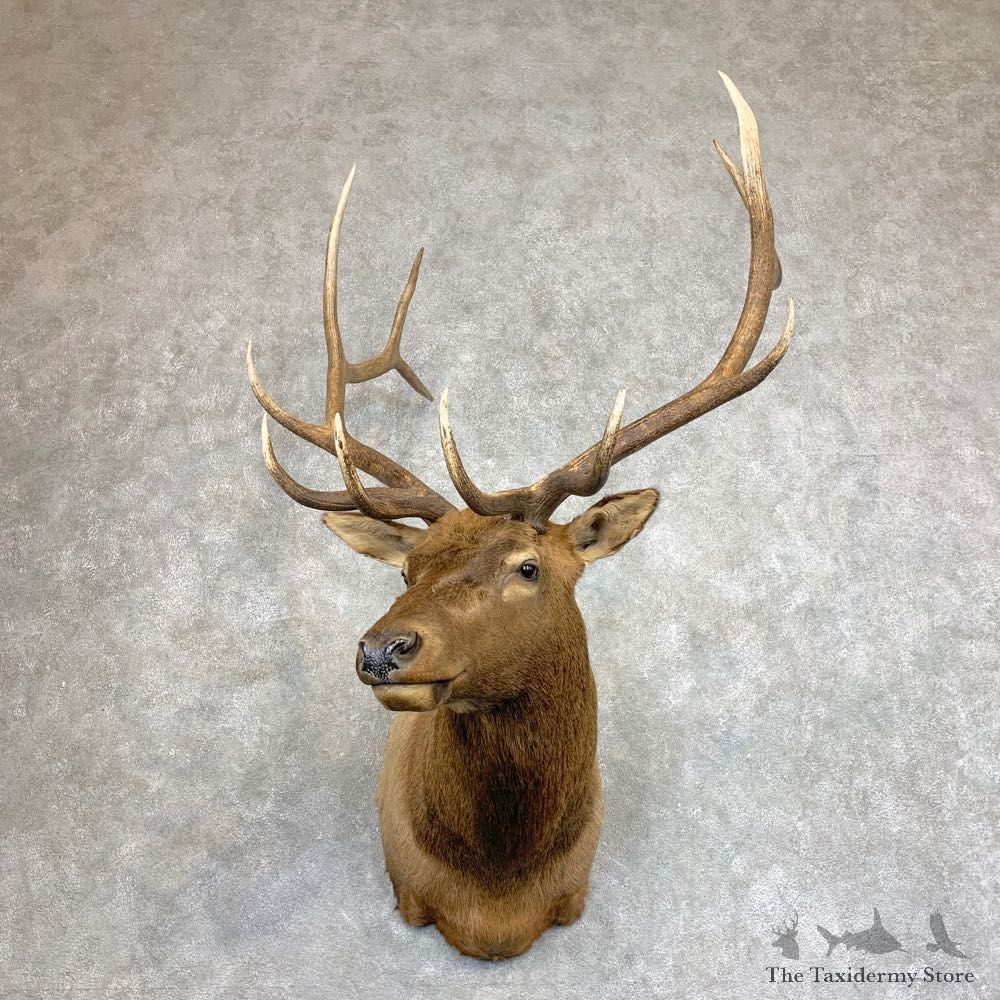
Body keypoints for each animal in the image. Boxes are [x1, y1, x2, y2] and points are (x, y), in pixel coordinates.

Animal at [246, 73, 794, 960]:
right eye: (406, 567)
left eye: (528, 567)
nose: (382, 649)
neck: (498, 897)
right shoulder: (408, 891)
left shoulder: (574, 893)